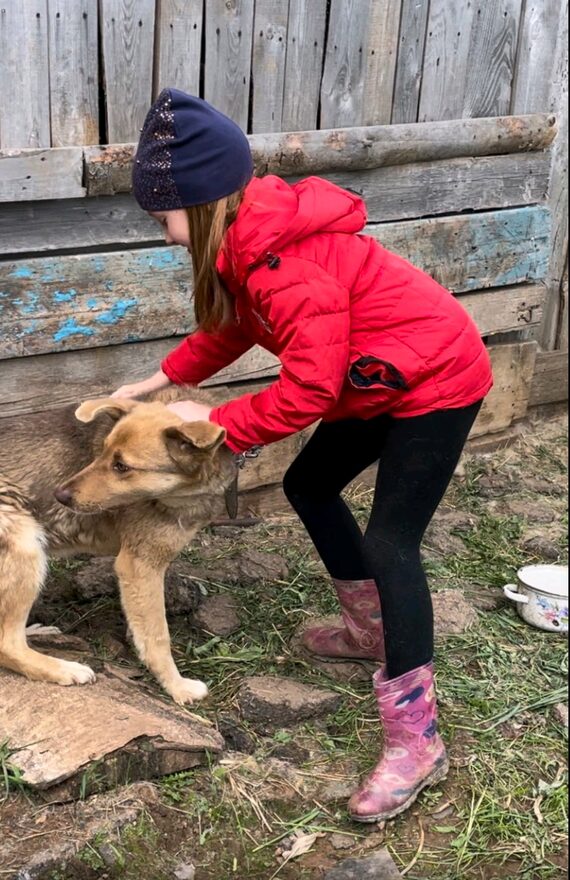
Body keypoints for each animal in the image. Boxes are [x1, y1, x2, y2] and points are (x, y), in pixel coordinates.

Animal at [0, 388, 233, 704]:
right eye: (102, 452)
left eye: (121, 466)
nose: (59, 496)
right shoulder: (139, 566)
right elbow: (157, 638)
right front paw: (177, 686)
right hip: (25, 541)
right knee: (6, 643)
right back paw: (62, 669)